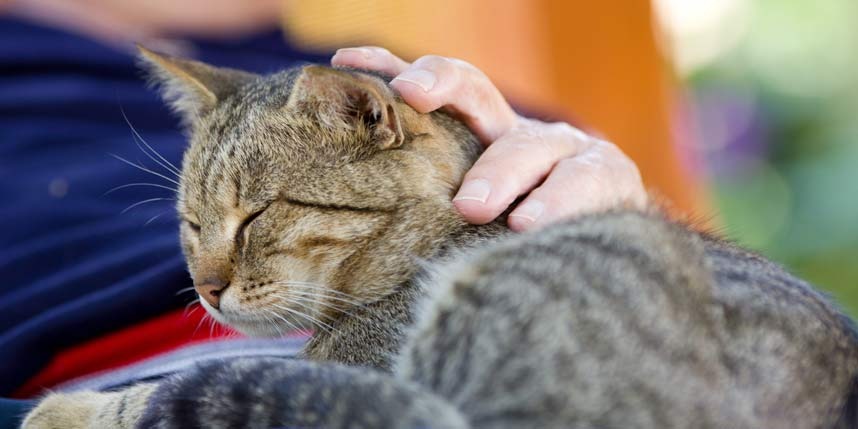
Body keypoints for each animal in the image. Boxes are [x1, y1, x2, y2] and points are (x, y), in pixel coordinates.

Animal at [20, 47, 856, 428]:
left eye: (254, 215)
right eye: (192, 223)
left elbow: (160, 394)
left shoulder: (360, 382)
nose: (205, 286)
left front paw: (66, 407)